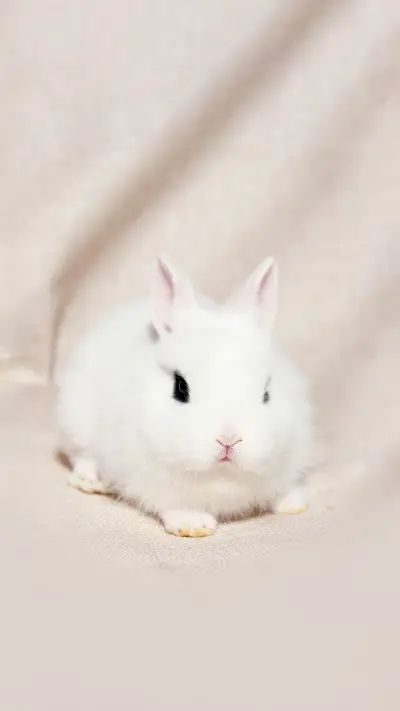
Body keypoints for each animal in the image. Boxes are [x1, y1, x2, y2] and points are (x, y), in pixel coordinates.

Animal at [57, 256, 312, 537]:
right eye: (180, 387)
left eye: (266, 392)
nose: (229, 440)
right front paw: (193, 524)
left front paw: (293, 503)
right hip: (74, 420)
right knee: (81, 456)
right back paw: (91, 481)